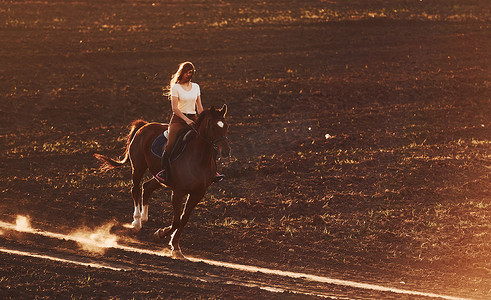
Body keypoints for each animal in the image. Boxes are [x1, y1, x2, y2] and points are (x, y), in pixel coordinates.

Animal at [94, 104, 231, 256]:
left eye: (226, 126)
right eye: (213, 127)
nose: (226, 151)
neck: (199, 158)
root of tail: (144, 125)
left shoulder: (198, 193)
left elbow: (184, 219)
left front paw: (176, 247)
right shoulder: (178, 192)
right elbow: (176, 221)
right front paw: (160, 235)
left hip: (159, 178)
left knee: (146, 187)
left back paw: (144, 218)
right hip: (138, 167)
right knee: (135, 189)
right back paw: (137, 222)